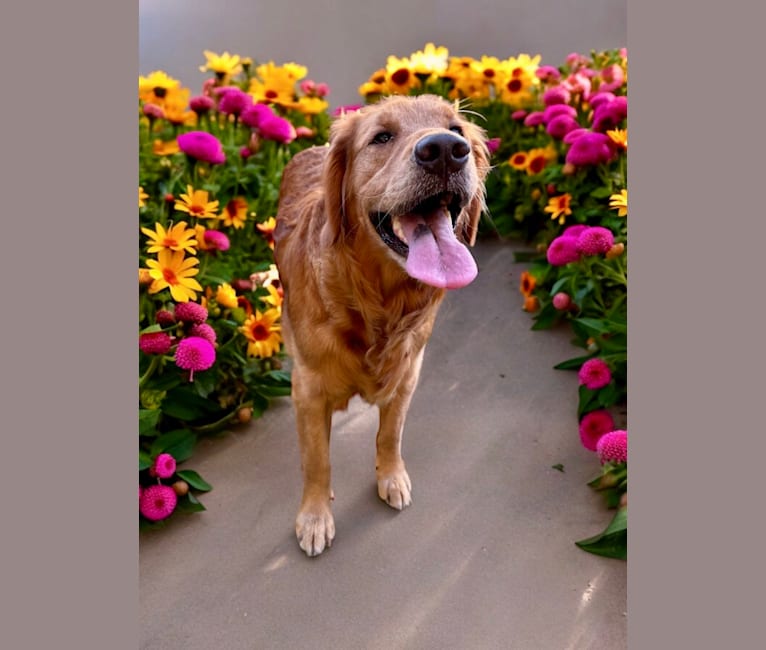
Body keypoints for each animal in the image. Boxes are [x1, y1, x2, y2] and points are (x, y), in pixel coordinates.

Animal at [276, 93, 492, 556]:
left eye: (457, 130)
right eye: (381, 137)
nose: (444, 150)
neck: (377, 304)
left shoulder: (408, 373)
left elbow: (390, 435)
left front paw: (391, 477)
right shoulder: (309, 390)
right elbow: (317, 460)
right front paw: (315, 516)